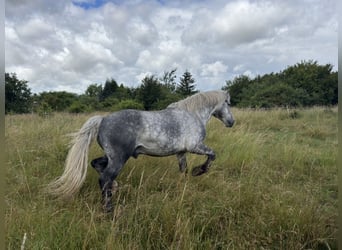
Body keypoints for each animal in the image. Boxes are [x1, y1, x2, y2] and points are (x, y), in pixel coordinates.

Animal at [47, 91, 235, 212]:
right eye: (228, 103)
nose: (231, 122)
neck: (193, 115)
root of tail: (103, 119)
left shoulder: (181, 152)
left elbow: (183, 171)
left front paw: (183, 188)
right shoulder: (195, 146)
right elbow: (212, 155)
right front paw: (199, 171)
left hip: (111, 157)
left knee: (97, 166)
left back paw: (115, 188)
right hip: (119, 159)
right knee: (105, 178)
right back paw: (109, 208)